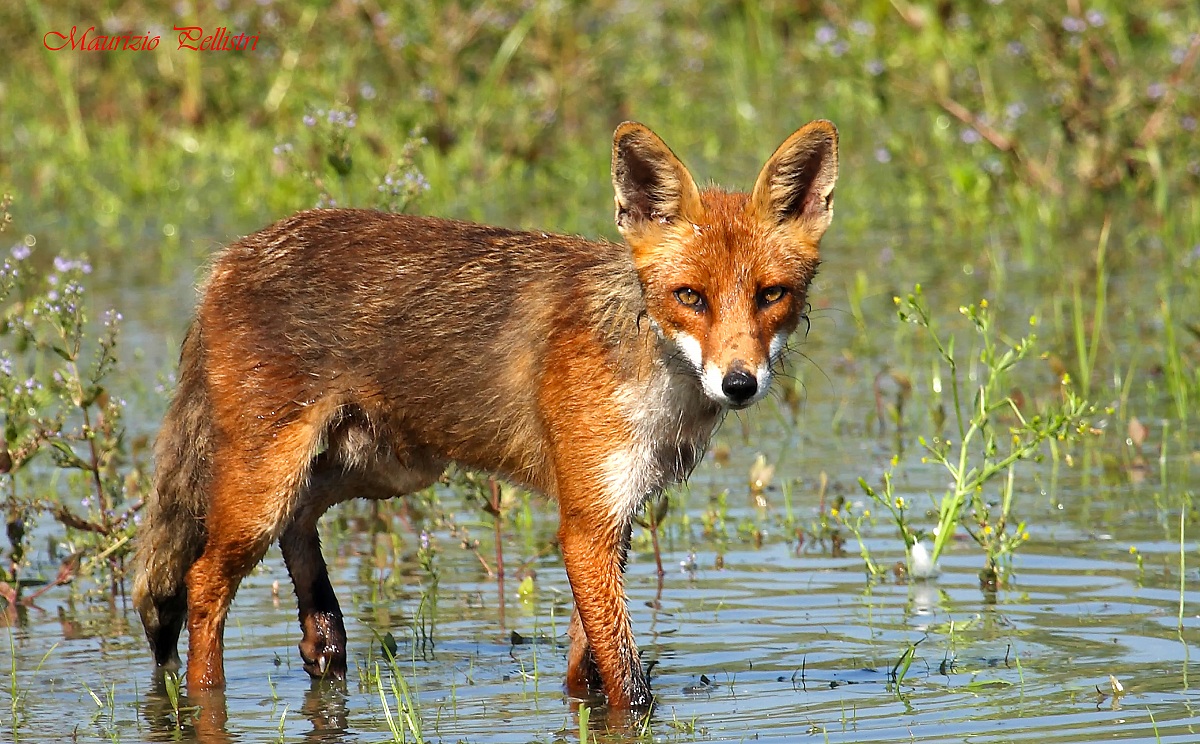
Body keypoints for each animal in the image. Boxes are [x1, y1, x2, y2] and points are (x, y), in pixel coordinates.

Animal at [132, 119, 838, 709]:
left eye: (771, 295)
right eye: (690, 297)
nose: (739, 383)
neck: (656, 378)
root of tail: (228, 258)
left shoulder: (614, 515)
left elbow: (587, 661)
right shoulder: (587, 524)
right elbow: (626, 678)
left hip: (379, 471)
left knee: (299, 525)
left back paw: (323, 637)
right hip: (267, 488)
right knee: (201, 584)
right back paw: (203, 696)